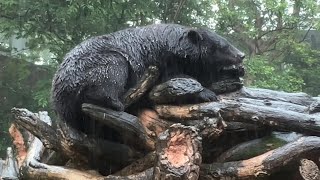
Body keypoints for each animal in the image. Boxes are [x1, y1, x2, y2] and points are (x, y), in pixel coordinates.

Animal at [51, 23, 245, 137]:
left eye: (227, 42)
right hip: (91, 65)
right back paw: (115, 102)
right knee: (111, 72)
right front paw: (206, 93)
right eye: (223, 46)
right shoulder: (161, 60)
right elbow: (176, 79)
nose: (241, 54)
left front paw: (234, 73)